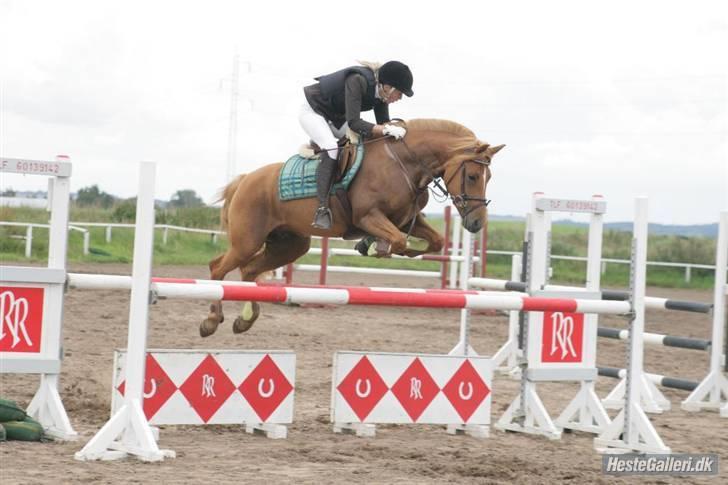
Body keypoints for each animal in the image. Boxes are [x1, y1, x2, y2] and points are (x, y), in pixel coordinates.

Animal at [202, 117, 504, 336]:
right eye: (473, 176)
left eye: (489, 177)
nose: (476, 223)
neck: (405, 163)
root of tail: (244, 180)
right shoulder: (368, 216)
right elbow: (398, 240)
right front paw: (373, 247)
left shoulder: (407, 219)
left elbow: (434, 242)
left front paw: (374, 245)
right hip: (248, 241)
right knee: (218, 267)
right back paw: (211, 321)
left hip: (289, 245)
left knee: (250, 270)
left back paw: (244, 321)